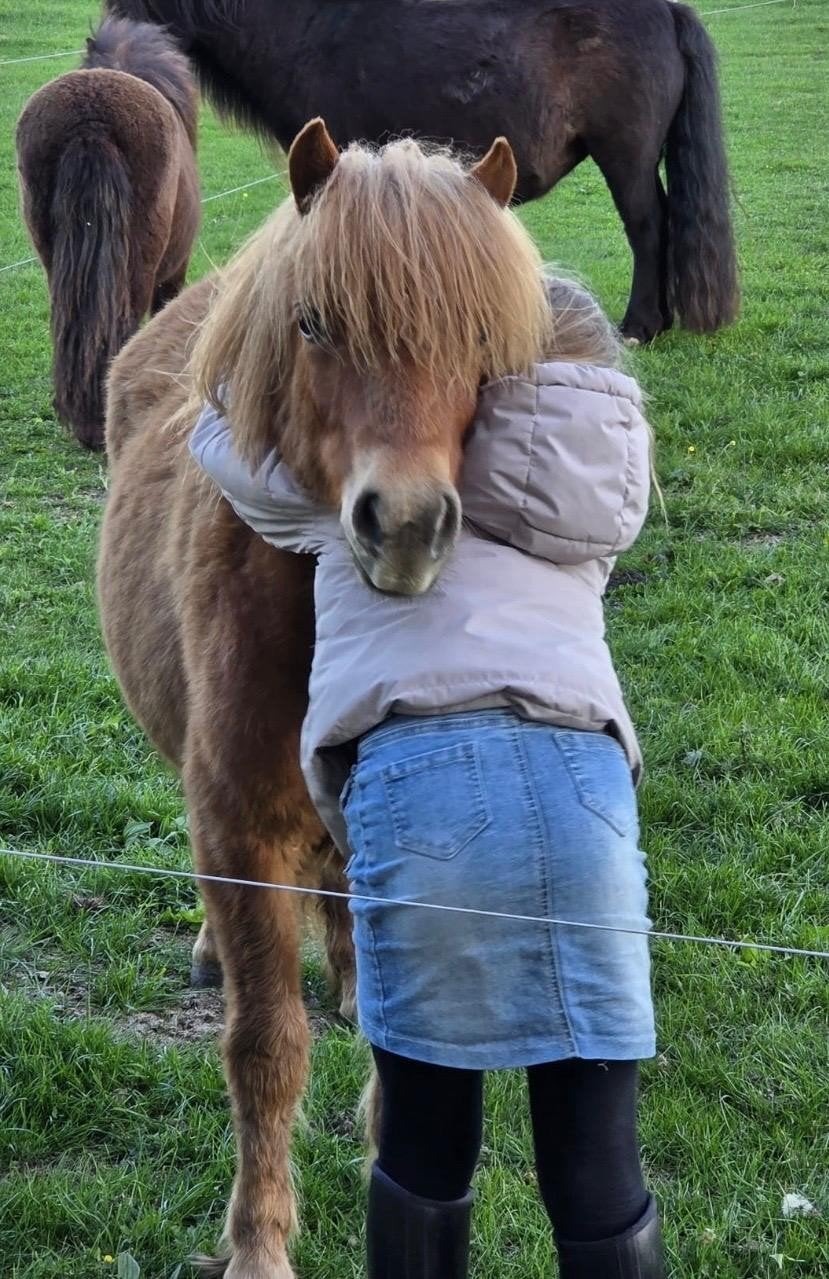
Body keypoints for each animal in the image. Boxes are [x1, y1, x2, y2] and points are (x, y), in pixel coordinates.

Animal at [97, 119, 551, 1278]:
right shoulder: (236, 828)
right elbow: (265, 1046)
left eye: (483, 335)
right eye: (313, 324)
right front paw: (259, 1243)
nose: (406, 524)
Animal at [106, 0, 739, 345]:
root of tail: (668, 10)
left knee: (649, 228)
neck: (304, 30)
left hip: (625, 157)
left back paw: (640, 324)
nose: (108, 41)